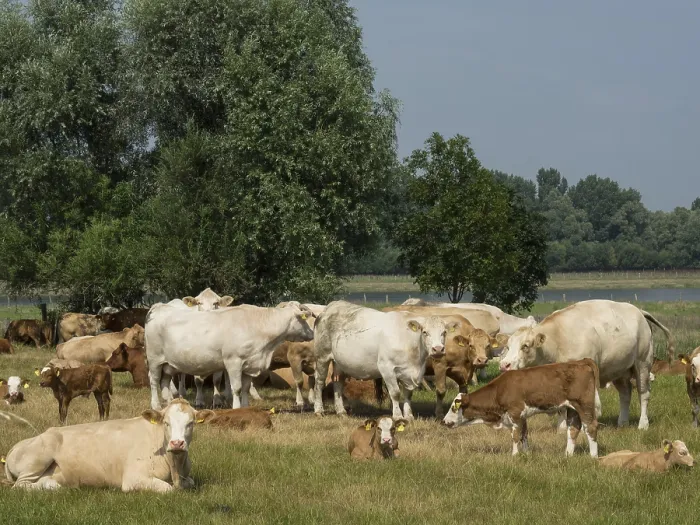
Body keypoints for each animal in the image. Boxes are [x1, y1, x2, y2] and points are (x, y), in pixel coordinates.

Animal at [4, 399, 208, 491]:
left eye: (190, 423)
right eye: (166, 423)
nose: (177, 443)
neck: (174, 466)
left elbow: (190, 482)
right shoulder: (134, 479)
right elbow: (168, 489)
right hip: (39, 456)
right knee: (20, 485)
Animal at [145, 302, 314, 410]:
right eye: (303, 320)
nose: (312, 333)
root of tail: (159, 306)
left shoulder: (249, 364)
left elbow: (245, 388)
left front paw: (245, 408)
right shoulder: (234, 362)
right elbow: (237, 388)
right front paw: (236, 408)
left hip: (168, 364)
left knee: (164, 382)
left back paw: (169, 403)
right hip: (154, 359)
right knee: (154, 381)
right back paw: (156, 405)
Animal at [313, 301, 451, 419]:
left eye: (444, 332)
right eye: (425, 332)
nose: (438, 349)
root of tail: (330, 307)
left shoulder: (410, 372)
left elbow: (408, 394)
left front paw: (409, 416)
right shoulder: (386, 368)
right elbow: (395, 393)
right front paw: (398, 416)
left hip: (339, 361)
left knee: (338, 383)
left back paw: (341, 411)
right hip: (322, 356)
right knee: (319, 382)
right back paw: (319, 410)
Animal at [443, 359, 600, 457]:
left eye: (453, 407)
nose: (444, 421)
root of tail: (582, 361)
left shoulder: (515, 412)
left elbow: (515, 436)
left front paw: (514, 455)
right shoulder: (522, 416)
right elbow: (524, 435)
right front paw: (526, 454)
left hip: (584, 405)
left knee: (590, 427)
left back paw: (593, 456)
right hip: (572, 408)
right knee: (573, 428)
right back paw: (567, 455)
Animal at [498, 300, 674, 430]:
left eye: (525, 346)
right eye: (508, 345)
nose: (504, 365)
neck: (558, 339)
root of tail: (639, 311)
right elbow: (562, 406)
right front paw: (562, 428)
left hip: (642, 363)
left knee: (643, 394)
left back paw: (643, 424)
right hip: (619, 370)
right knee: (625, 394)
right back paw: (622, 422)